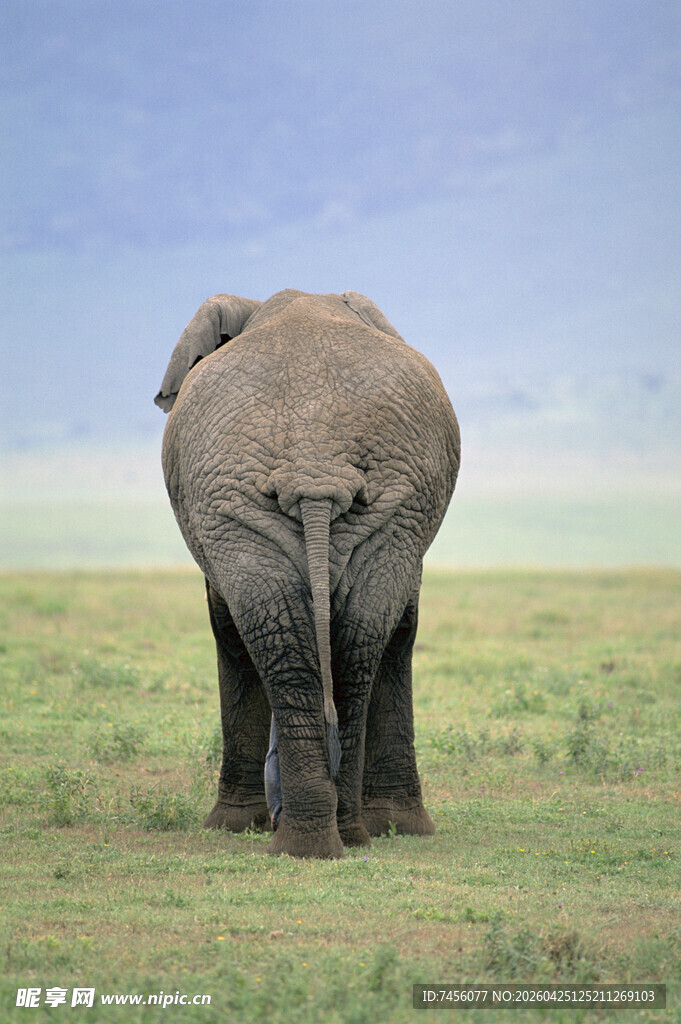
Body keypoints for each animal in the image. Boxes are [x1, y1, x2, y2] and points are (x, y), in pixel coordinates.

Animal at [155, 289, 460, 858]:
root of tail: (315, 467)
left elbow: (225, 630)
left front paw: (232, 827)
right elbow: (400, 627)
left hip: (263, 500)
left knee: (290, 639)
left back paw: (310, 840)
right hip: (379, 498)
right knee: (354, 639)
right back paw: (335, 838)